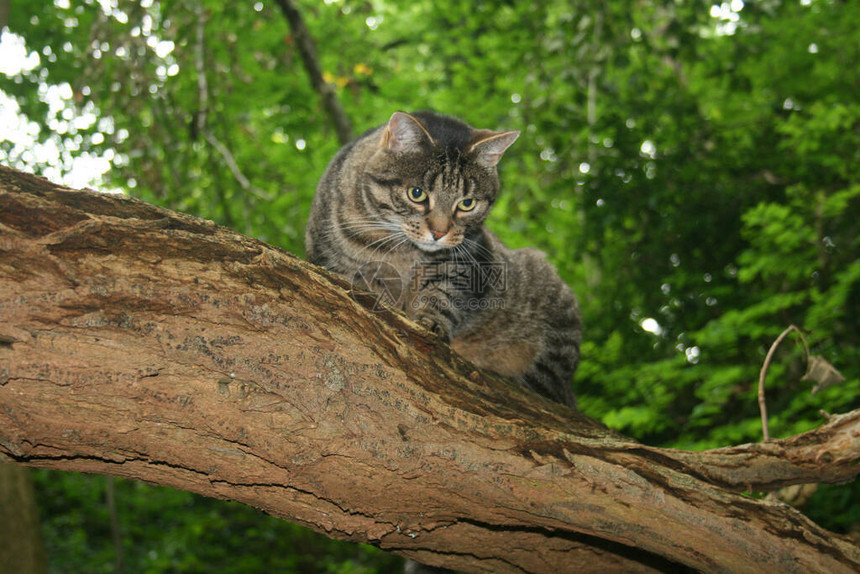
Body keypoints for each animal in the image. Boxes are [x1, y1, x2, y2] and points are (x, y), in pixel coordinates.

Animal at [306, 111, 580, 410]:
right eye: (417, 194)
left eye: (467, 204)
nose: (439, 232)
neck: (400, 250)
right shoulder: (334, 263)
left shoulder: (463, 262)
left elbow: (443, 296)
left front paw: (430, 324)